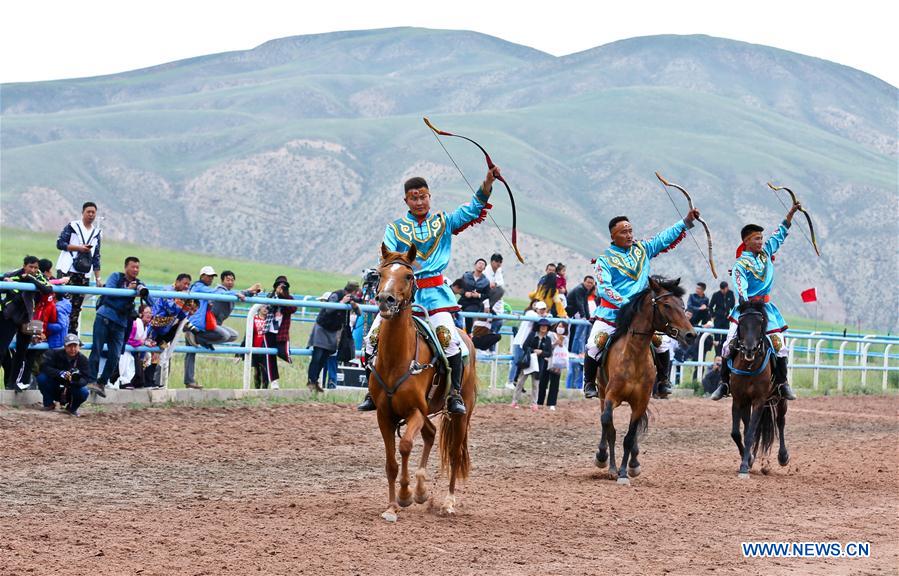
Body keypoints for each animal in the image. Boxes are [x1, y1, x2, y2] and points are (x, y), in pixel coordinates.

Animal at [370, 243, 478, 520]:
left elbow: (406, 445)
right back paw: (421, 491)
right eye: (380, 274)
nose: (386, 300)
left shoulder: (415, 411)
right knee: (430, 434)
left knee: (454, 453)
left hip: (461, 415)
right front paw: (392, 506)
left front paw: (405, 495)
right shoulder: (385, 415)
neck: (396, 360)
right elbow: (391, 462)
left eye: (408, 276)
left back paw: (448, 502)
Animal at [596, 276, 696, 484]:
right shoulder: (611, 397)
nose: (691, 334)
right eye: (667, 305)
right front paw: (610, 467)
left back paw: (633, 463)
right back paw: (603, 458)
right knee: (604, 420)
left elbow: (630, 436)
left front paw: (624, 473)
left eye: (682, 305)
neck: (634, 356)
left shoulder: (640, 401)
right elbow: (610, 428)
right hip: (601, 392)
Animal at [728, 300, 792, 480]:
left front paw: (744, 466)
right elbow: (737, 433)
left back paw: (783, 456)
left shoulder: (758, 400)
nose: (749, 349)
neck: (749, 366)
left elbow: (750, 433)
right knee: (750, 425)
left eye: (759, 323)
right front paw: (748, 459)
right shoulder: (739, 399)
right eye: (742, 323)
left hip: (780, 400)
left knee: (780, 422)